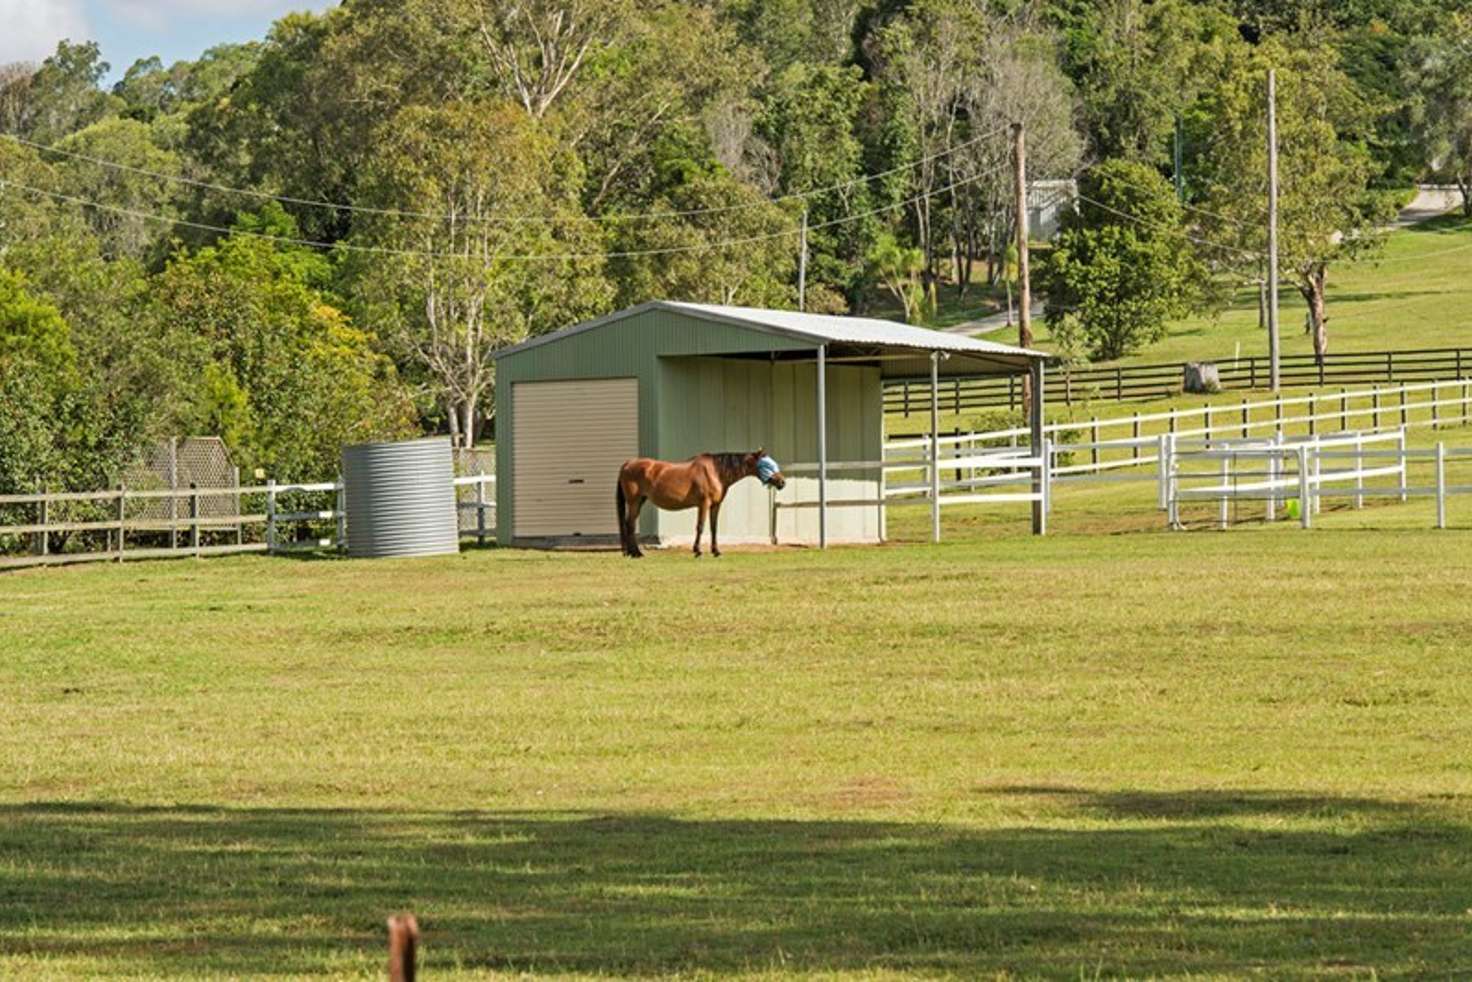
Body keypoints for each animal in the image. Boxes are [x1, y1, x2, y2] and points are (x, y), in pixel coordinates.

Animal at [618, 450, 788, 556]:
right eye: (767, 465)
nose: (782, 482)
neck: (716, 472)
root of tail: (627, 464)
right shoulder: (704, 504)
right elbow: (700, 526)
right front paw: (697, 550)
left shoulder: (715, 505)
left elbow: (713, 528)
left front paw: (716, 551)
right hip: (633, 501)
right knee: (630, 525)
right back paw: (636, 553)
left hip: (640, 501)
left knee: (629, 524)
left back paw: (631, 552)